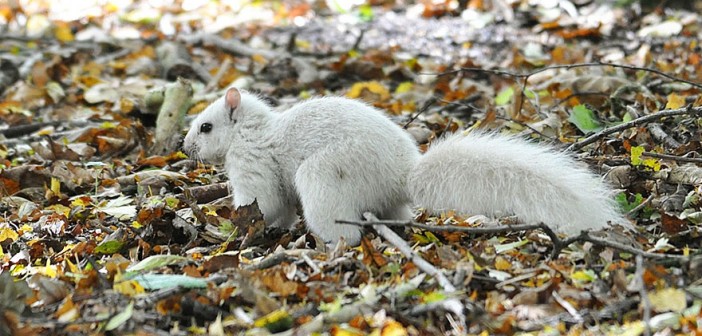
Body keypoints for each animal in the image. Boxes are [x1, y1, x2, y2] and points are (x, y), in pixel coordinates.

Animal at [182, 86, 628, 244]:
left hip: (323, 176)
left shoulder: (253, 165)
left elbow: (264, 203)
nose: (185, 148)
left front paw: (234, 226)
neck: (252, 130)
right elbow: (282, 209)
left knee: (344, 232)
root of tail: (402, 178)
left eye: (206, 126)